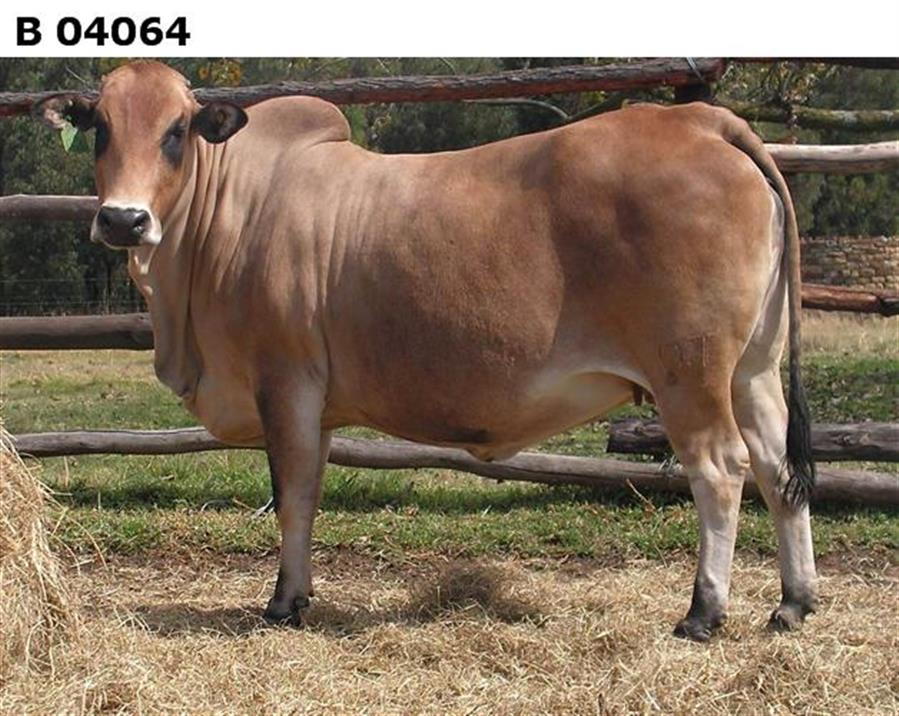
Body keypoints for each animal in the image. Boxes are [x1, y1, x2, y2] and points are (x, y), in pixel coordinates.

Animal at [35, 61, 818, 642]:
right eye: (100, 126)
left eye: (177, 130)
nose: (124, 220)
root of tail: (701, 121)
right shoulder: (316, 404)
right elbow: (307, 492)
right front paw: (300, 592)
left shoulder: (286, 383)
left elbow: (292, 495)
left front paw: (284, 601)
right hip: (753, 369)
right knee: (777, 467)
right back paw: (792, 601)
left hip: (690, 373)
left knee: (720, 471)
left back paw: (703, 612)